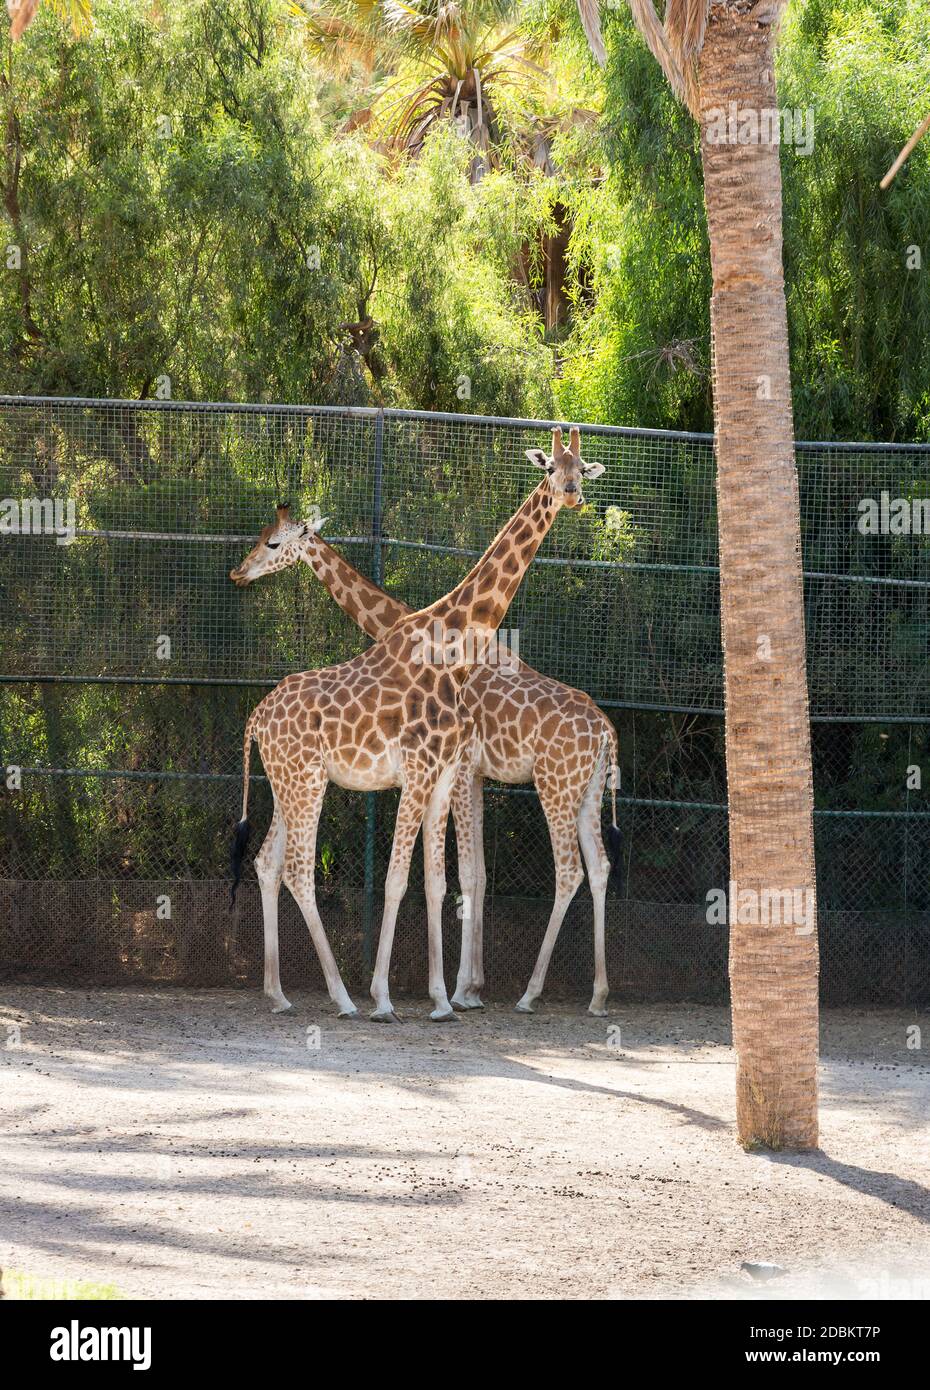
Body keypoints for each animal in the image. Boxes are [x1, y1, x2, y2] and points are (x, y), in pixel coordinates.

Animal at [230, 428, 621, 1017]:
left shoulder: (448, 772)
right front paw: (429, 993)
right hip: (307, 782)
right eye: (552, 467)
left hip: (559, 784)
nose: (239, 571)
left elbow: (438, 878)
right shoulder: (442, 773)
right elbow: (436, 877)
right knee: (289, 866)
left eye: (273, 544)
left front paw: (444, 995)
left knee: (580, 868)